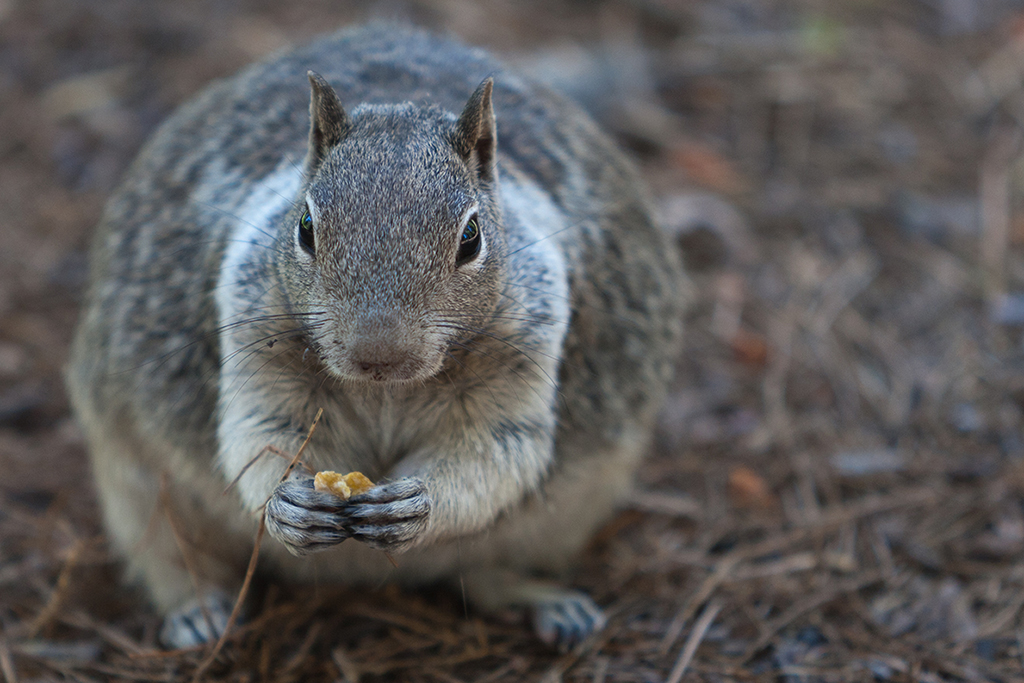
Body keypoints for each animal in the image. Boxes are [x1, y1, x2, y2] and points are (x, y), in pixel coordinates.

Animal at [66, 22, 688, 651]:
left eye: (471, 237)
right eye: (305, 227)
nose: (378, 354)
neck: (387, 391)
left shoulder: (528, 350)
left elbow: (496, 452)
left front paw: (419, 505)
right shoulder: (254, 338)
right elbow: (257, 437)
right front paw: (288, 503)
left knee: (485, 575)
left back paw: (548, 602)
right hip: (135, 484)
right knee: (169, 557)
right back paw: (197, 610)